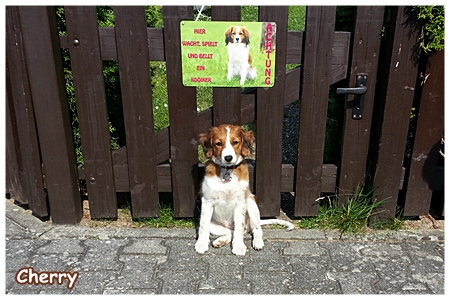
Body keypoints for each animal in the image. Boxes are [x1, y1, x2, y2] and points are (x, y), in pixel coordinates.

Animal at [194, 124, 294, 255]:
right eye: (218, 143)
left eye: (235, 142)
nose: (228, 158)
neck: (227, 171)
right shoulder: (207, 202)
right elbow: (203, 225)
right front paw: (201, 243)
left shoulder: (240, 203)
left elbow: (239, 228)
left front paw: (239, 246)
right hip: (215, 225)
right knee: (229, 232)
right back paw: (220, 241)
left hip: (251, 205)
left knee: (256, 229)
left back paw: (257, 242)